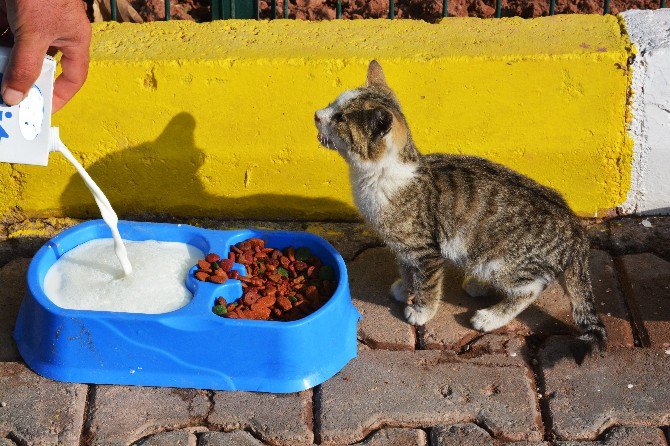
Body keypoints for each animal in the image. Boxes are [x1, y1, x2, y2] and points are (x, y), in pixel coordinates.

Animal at [316, 59, 608, 354]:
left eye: (340, 119)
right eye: (331, 104)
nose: (317, 114)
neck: (378, 176)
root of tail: (575, 226)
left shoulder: (426, 251)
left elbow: (428, 282)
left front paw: (421, 309)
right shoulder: (404, 246)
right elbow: (407, 269)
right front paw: (406, 288)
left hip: (503, 261)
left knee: (531, 288)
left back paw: (490, 316)